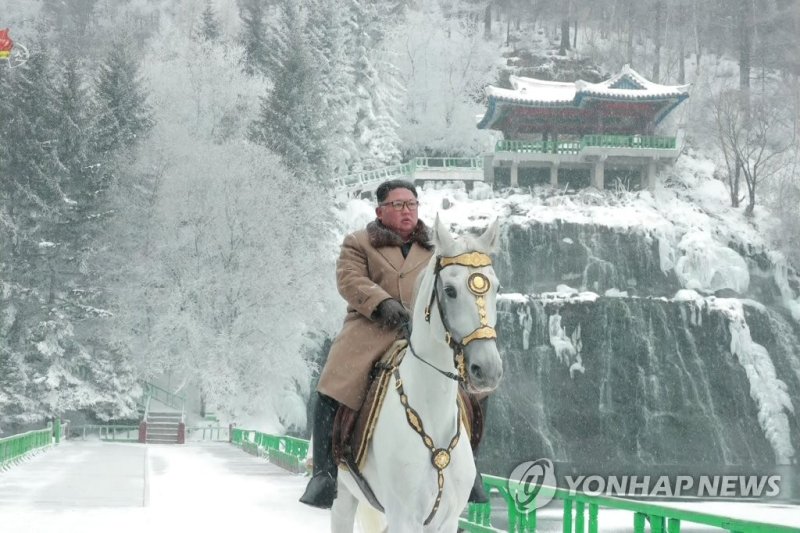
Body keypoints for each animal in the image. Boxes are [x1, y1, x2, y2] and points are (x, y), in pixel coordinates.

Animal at [334, 216, 504, 532]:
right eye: (449, 290)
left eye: (496, 288)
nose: (487, 369)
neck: (433, 420)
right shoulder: (404, 517)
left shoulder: (446, 520)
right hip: (343, 496)